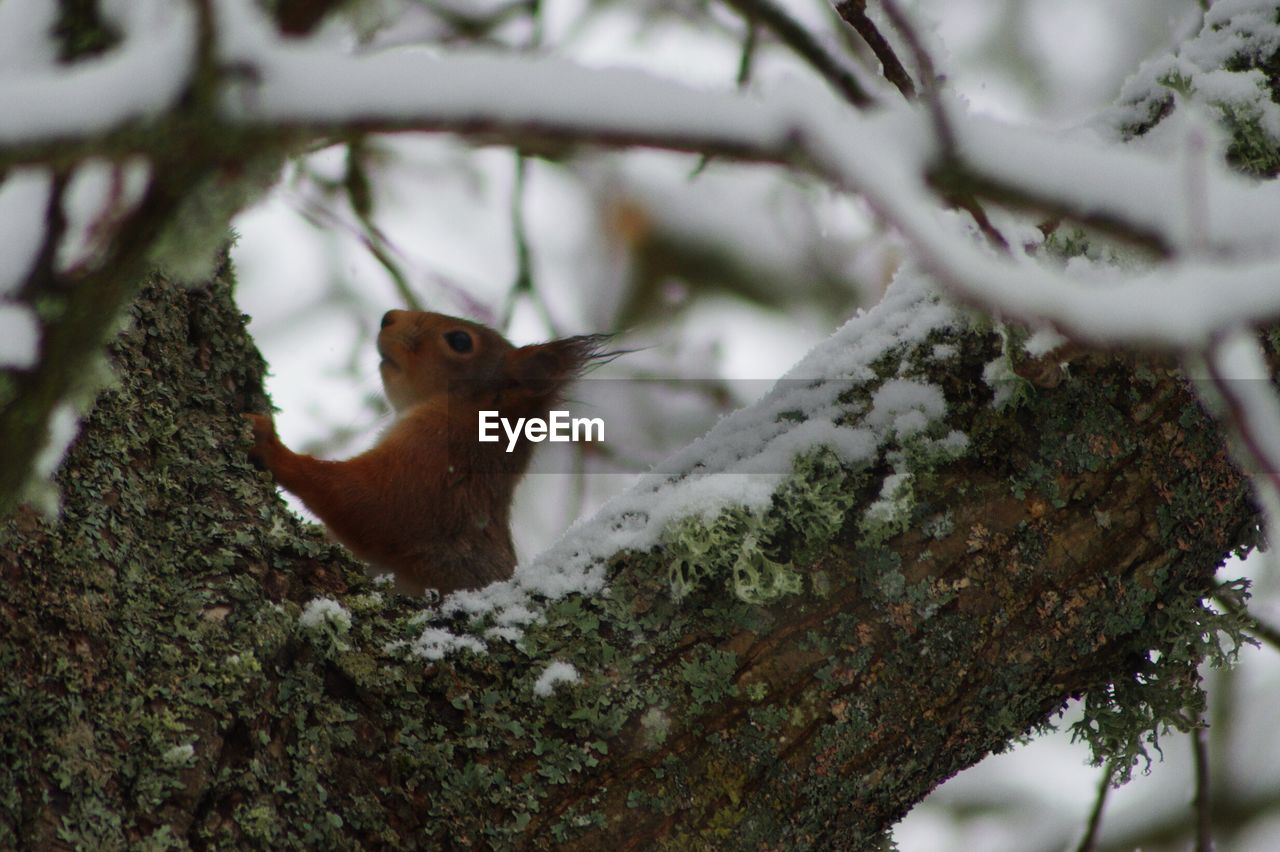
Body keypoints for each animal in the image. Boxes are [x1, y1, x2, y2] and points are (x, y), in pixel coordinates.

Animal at [248, 308, 614, 593]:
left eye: (461, 341)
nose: (389, 317)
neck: (468, 413)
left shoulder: (436, 464)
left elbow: (369, 504)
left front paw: (271, 445)